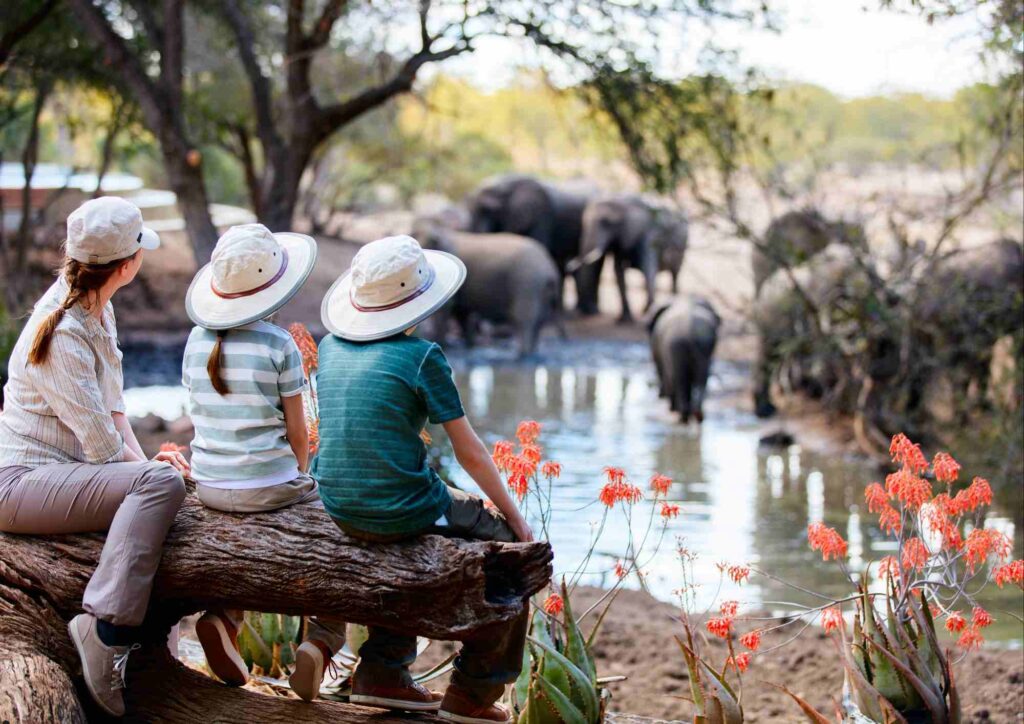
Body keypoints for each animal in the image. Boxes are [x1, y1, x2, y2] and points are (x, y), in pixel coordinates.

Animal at [411, 218, 565, 360]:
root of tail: (550, 269)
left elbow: (446, 311)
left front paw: (444, 345)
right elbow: (462, 312)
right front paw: (469, 346)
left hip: (527, 283)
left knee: (525, 319)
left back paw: (523, 355)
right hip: (539, 289)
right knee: (540, 320)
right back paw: (531, 353)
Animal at [569, 195, 688, 325]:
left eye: (606, 223)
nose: (569, 265)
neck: (622, 203)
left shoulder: (649, 235)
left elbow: (648, 267)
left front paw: (649, 312)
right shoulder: (621, 240)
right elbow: (618, 271)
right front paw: (625, 319)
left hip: (683, 246)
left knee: (675, 274)